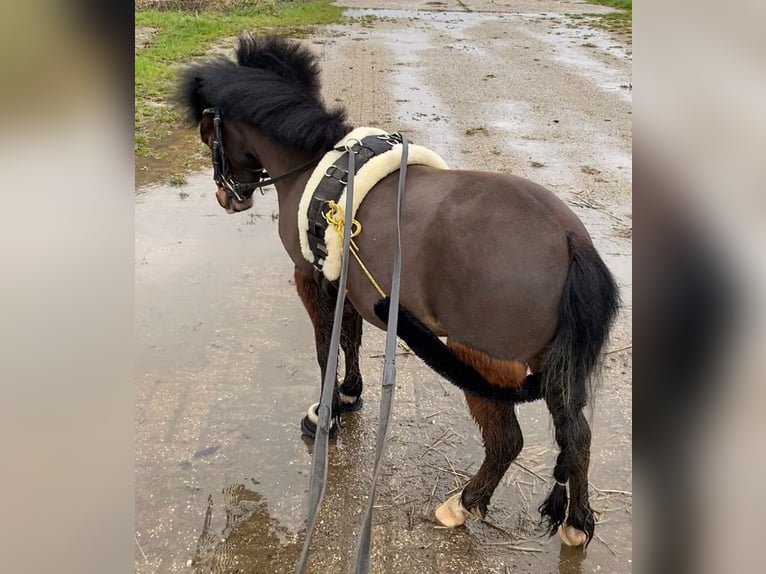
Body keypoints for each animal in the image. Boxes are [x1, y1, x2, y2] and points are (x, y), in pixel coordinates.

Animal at [177, 35, 620, 548]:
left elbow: (325, 347)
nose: (226, 196)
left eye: (210, 135)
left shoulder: (310, 279)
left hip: (481, 360)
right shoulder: (342, 282)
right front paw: (350, 395)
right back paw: (576, 521)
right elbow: (349, 339)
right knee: (577, 436)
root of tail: (569, 240)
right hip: (550, 365)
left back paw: (463, 504)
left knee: (507, 440)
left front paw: (324, 413)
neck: (318, 171)